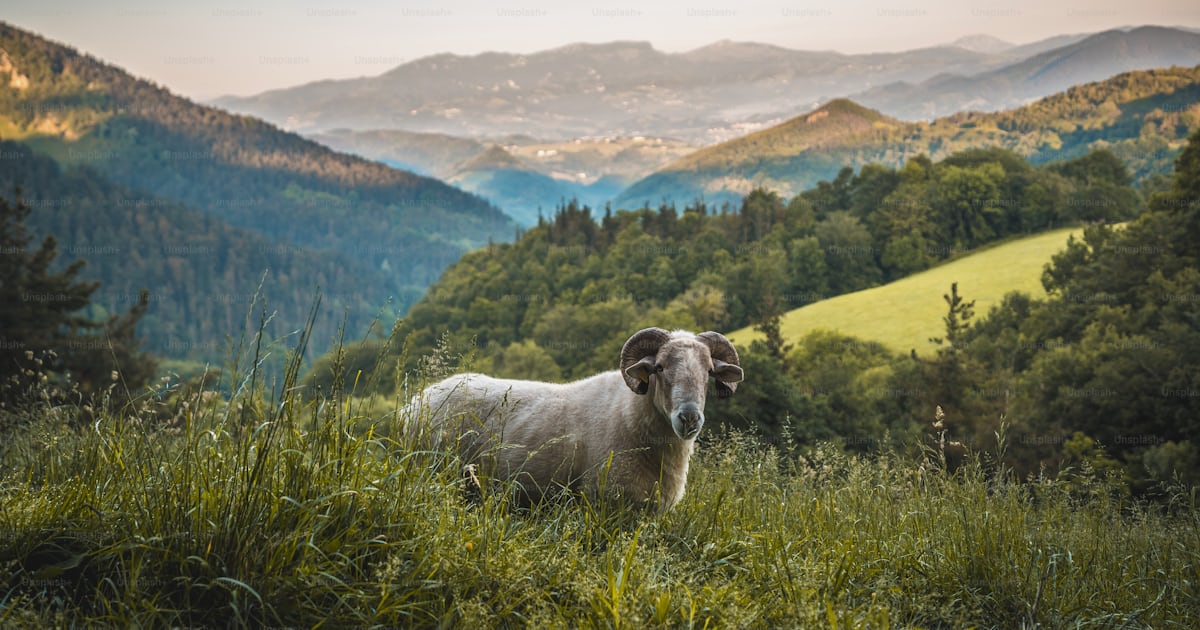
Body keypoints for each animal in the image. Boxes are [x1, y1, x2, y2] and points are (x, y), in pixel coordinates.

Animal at [410, 328, 744, 512]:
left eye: (709, 371)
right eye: (659, 367)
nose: (689, 417)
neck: (629, 413)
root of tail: (416, 401)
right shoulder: (606, 505)